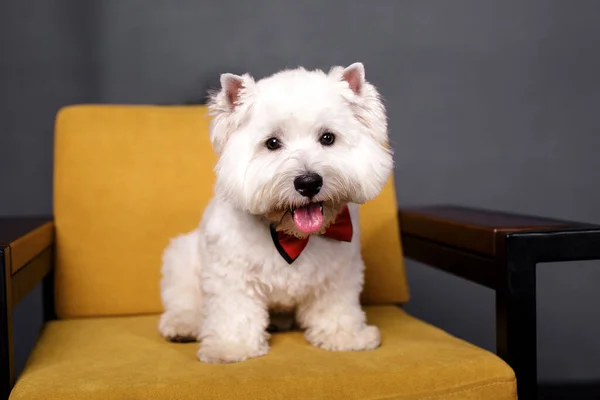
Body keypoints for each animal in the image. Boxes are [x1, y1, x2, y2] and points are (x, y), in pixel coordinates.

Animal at [159, 61, 394, 362]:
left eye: (328, 138)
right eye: (272, 143)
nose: (309, 182)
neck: (289, 235)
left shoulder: (339, 274)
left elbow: (336, 308)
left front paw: (345, 337)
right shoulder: (231, 276)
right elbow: (235, 313)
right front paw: (230, 347)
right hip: (181, 258)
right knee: (184, 300)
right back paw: (183, 325)